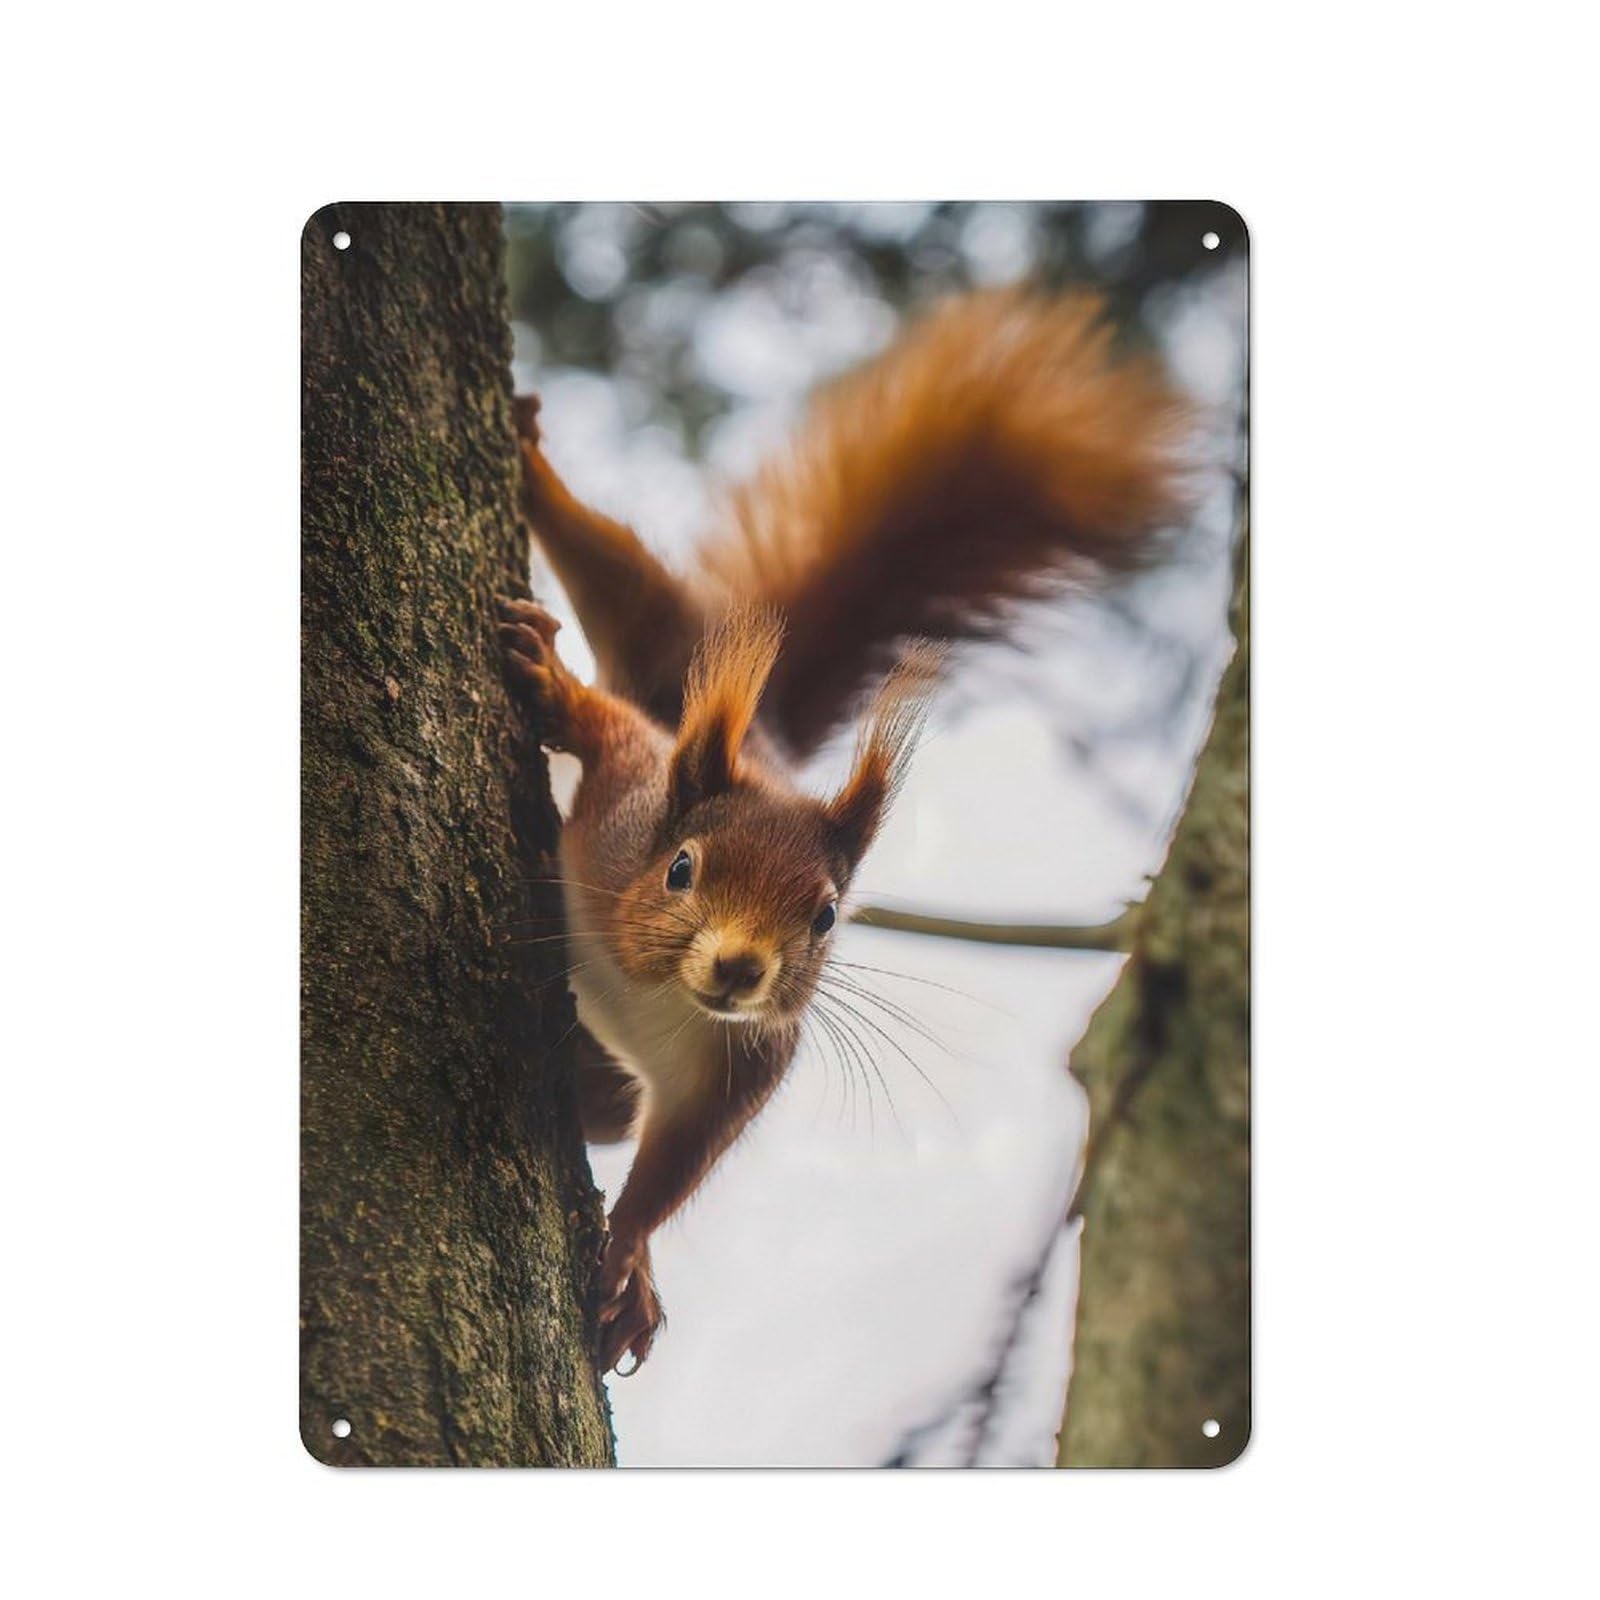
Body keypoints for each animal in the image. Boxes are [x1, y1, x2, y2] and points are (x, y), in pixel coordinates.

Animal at [498, 288, 1190, 1374]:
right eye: (681, 867)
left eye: (825, 919)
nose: (741, 968)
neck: (650, 991)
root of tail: (765, 734)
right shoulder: (623, 803)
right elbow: (605, 733)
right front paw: (550, 686)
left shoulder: (739, 1068)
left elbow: (676, 1169)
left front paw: (626, 1260)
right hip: (667, 632)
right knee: (614, 570)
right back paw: (534, 463)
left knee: (615, 1116)